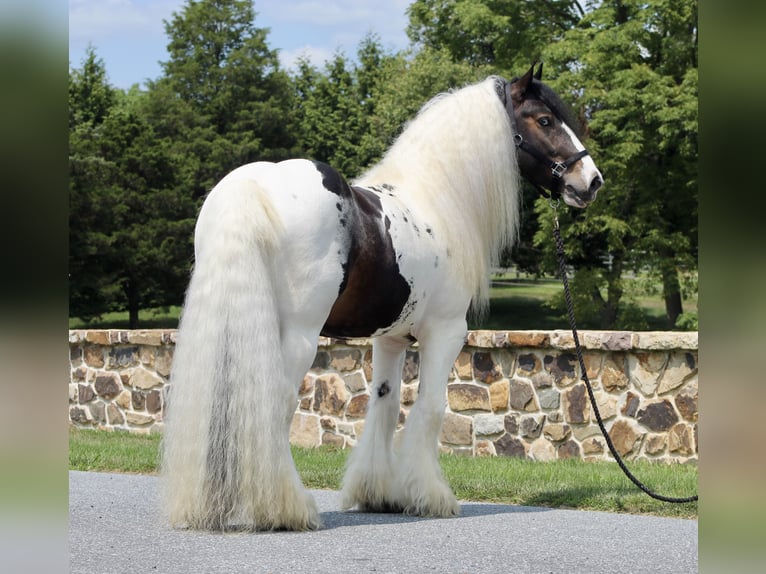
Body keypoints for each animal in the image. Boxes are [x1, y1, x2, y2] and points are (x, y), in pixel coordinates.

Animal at [162, 62, 608, 532]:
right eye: (545, 120)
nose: (591, 181)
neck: (435, 201)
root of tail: (255, 186)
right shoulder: (446, 332)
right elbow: (430, 408)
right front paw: (431, 496)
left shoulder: (390, 339)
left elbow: (385, 403)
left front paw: (377, 493)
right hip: (298, 336)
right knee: (274, 406)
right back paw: (288, 508)